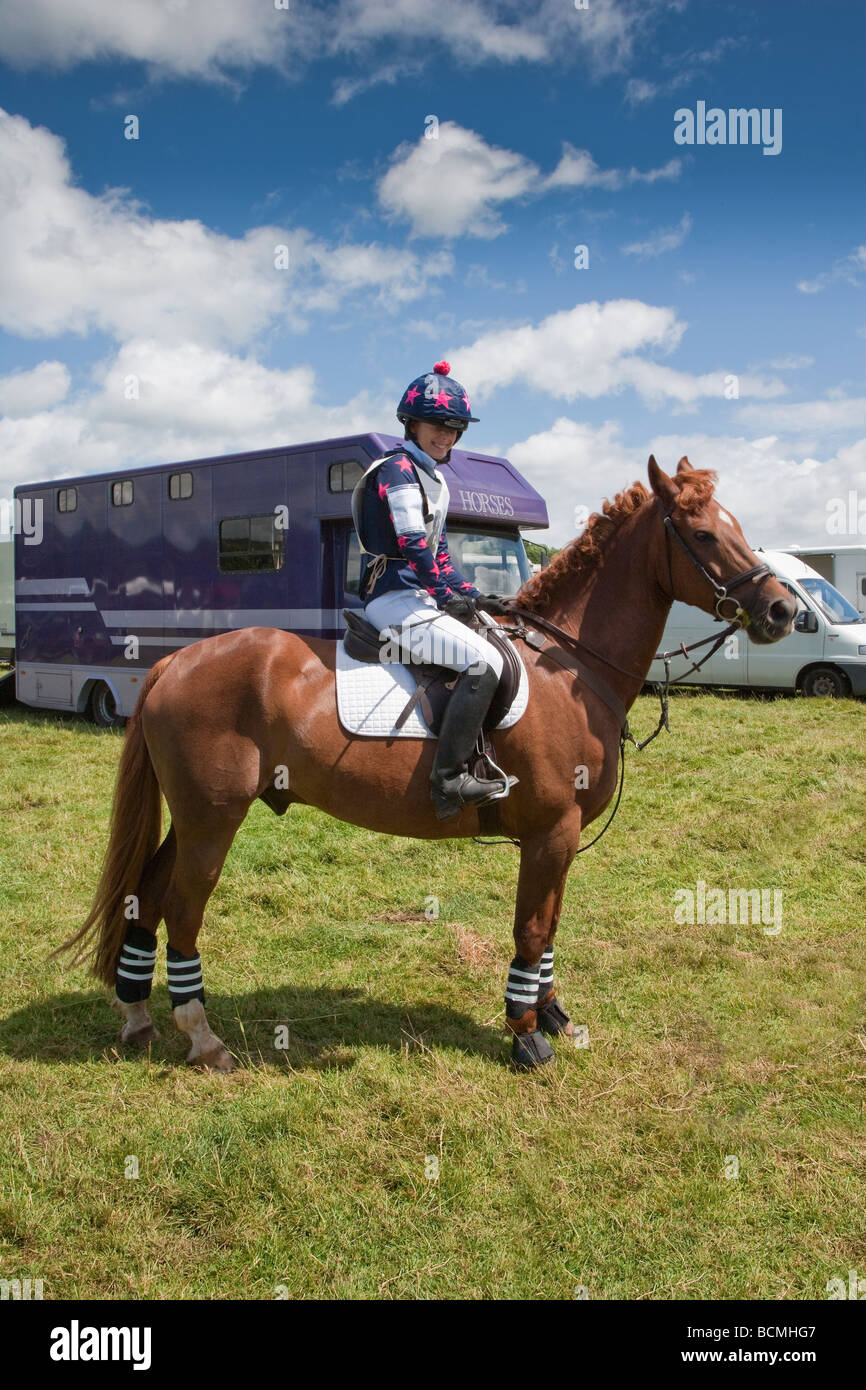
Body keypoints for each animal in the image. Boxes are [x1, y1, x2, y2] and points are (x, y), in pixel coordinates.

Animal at [59, 461, 795, 1067]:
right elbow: (533, 927)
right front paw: (525, 1035)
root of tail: (176, 660)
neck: (568, 667)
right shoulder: (550, 833)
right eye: (703, 535)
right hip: (213, 819)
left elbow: (551, 926)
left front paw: (553, 1015)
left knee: (146, 897)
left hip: (192, 819)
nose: (784, 610)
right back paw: (204, 1039)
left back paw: (137, 1018)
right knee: (182, 910)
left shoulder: (560, 840)